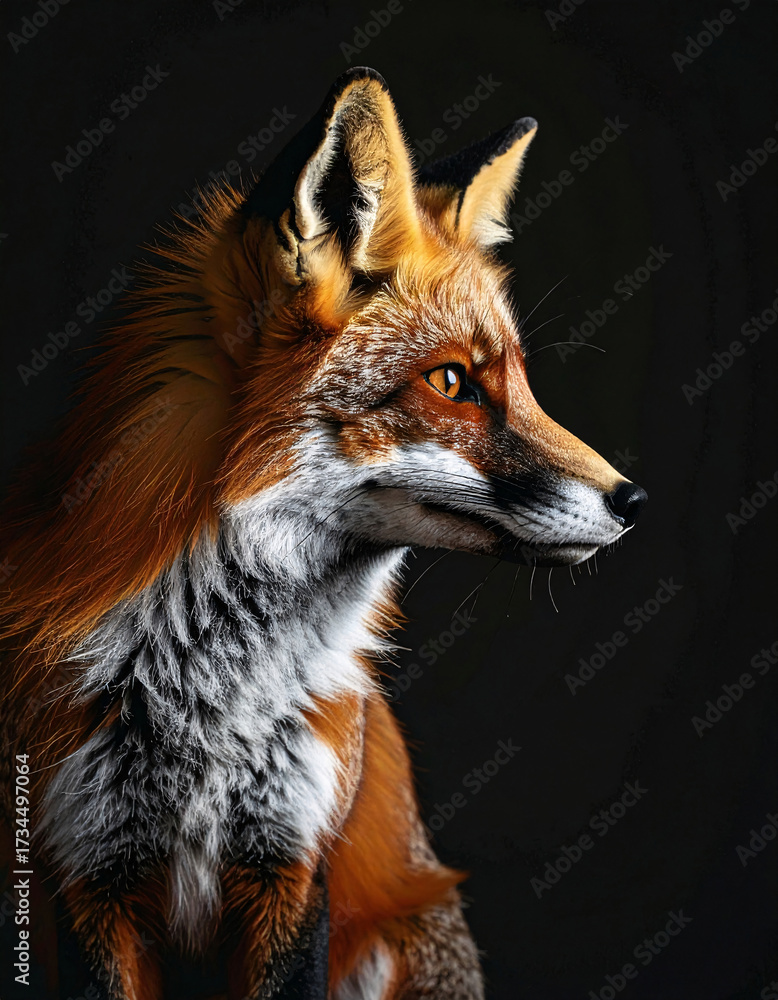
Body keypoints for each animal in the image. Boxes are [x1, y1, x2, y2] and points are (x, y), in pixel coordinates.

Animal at [0, 67, 646, 1000]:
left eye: (521, 382)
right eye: (452, 382)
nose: (633, 500)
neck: (208, 704)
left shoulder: (295, 864)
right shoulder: (87, 875)